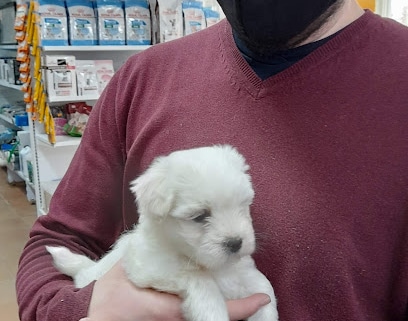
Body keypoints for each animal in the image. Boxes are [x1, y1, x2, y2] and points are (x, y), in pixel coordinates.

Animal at [46, 145, 278, 320]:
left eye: (243, 205)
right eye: (199, 216)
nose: (236, 242)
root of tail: (86, 270)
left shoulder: (244, 273)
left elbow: (264, 289)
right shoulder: (152, 268)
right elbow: (198, 279)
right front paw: (212, 311)